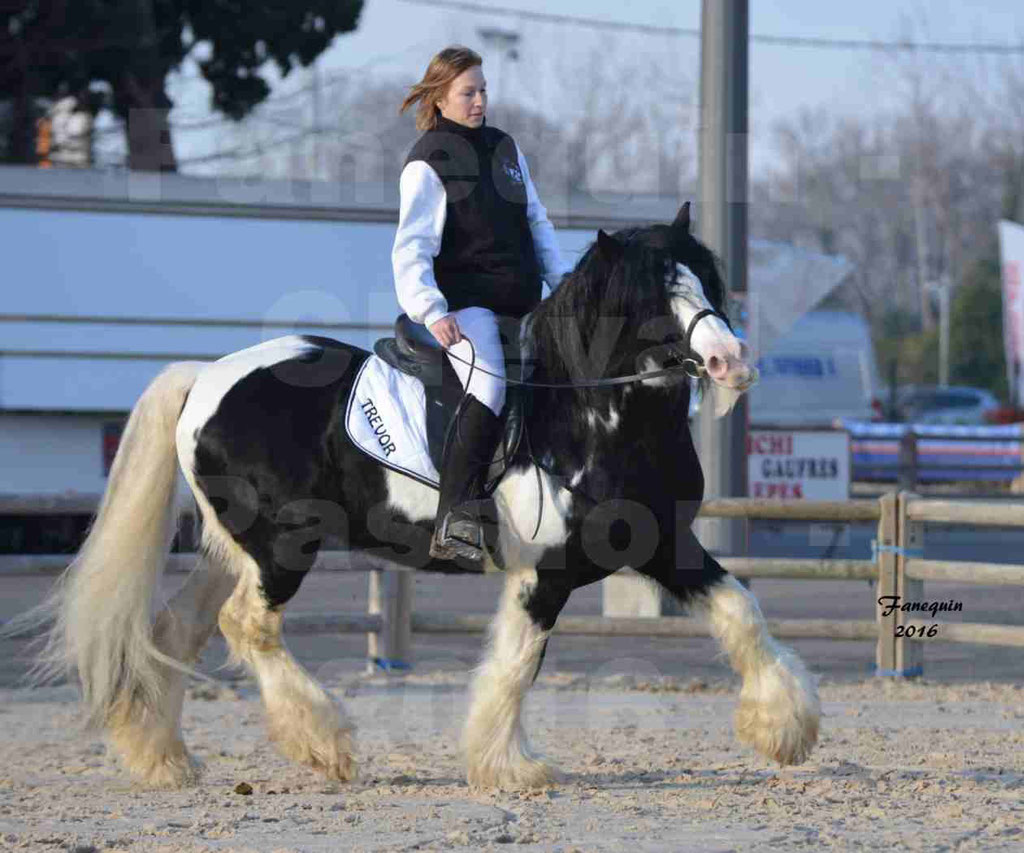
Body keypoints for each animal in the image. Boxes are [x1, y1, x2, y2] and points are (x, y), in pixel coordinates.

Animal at [14, 199, 815, 786]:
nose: (730, 360)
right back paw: (325, 743)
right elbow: (517, 666)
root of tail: (206, 376)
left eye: (704, 279)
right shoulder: (545, 574)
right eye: (648, 295)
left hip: (229, 549)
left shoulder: (664, 544)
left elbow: (741, 613)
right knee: (248, 626)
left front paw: (787, 729)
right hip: (280, 546)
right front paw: (509, 769)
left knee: (179, 630)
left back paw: (165, 759)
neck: (589, 418)